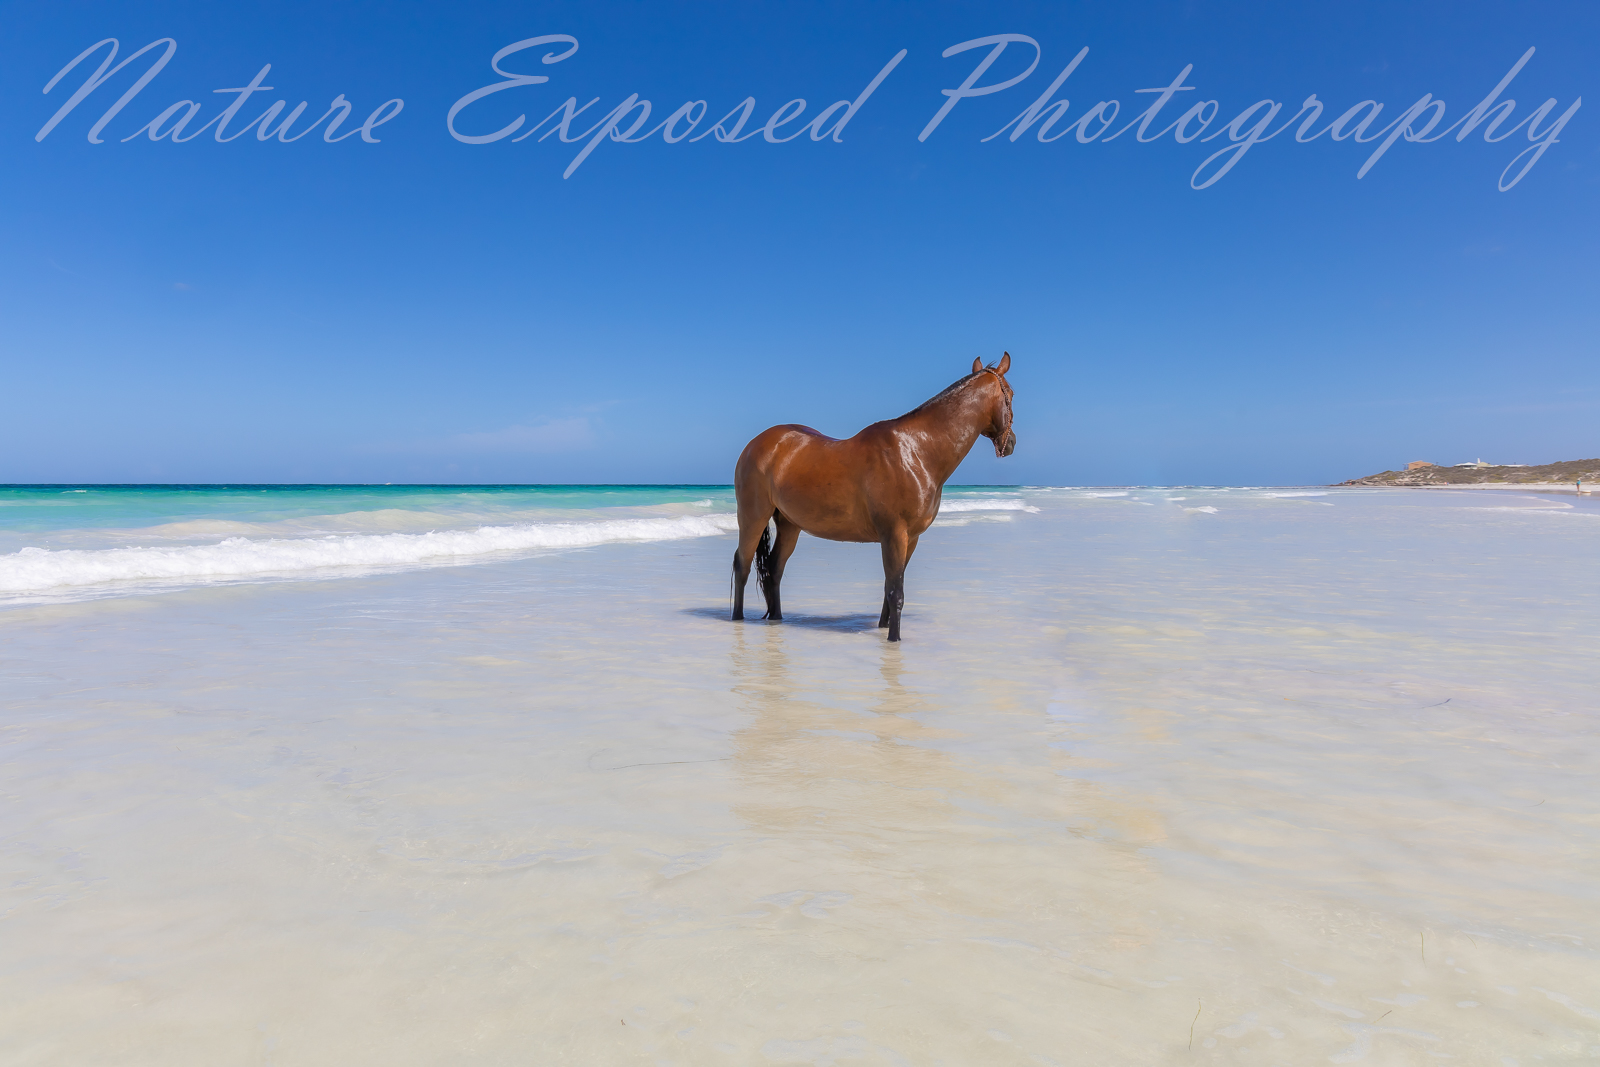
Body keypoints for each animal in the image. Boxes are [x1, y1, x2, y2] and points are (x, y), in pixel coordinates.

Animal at [731, 352, 1016, 641]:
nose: (1011, 443)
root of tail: (757, 444)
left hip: (790, 524)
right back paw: (737, 618)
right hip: (753, 517)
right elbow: (896, 591)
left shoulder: (910, 538)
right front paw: (894, 638)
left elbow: (890, 587)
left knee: (775, 568)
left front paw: (885, 630)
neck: (918, 451)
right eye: (1011, 394)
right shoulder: (894, 534)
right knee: (742, 565)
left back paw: (776, 619)